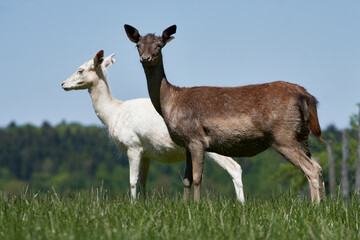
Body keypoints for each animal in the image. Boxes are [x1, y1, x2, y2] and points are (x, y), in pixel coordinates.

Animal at [61, 49, 245, 202]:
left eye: (80, 70)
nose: (62, 83)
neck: (113, 113)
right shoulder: (146, 152)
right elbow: (143, 180)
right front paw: (143, 203)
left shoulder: (133, 145)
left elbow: (132, 180)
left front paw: (133, 204)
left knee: (234, 167)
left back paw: (241, 204)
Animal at [124, 24, 326, 202]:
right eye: (138, 45)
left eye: (159, 45)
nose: (145, 58)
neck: (170, 104)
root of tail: (306, 96)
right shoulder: (186, 144)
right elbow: (186, 179)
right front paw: (184, 204)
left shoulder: (196, 138)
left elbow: (197, 177)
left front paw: (197, 206)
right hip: (301, 135)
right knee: (317, 165)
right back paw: (322, 205)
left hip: (283, 135)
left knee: (311, 169)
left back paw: (315, 205)